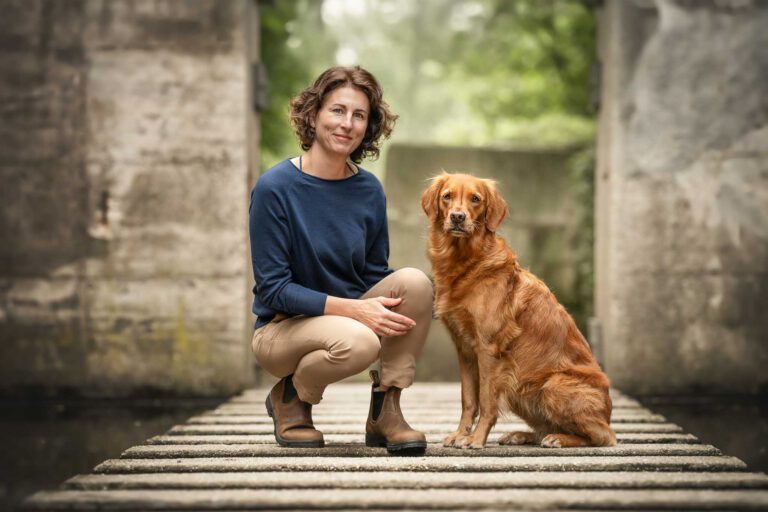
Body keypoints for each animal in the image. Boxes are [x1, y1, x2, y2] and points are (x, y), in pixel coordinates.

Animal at [424, 172, 616, 448]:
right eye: (447, 196)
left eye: (475, 199)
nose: (458, 217)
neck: (466, 263)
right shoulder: (465, 350)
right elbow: (468, 399)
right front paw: (461, 434)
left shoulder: (488, 349)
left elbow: (486, 401)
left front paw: (476, 439)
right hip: (520, 387)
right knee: (546, 426)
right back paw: (522, 434)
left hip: (552, 384)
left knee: (602, 436)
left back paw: (559, 438)